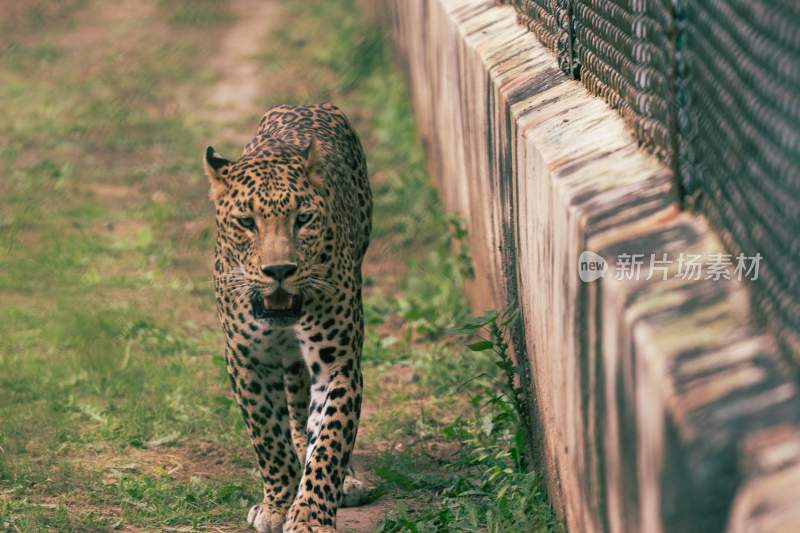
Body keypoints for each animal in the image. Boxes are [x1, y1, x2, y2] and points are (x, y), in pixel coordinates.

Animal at [203, 102, 372, 528]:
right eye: (247, 222)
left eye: (304, 219)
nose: (279, 270)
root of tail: (308, 104)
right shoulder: (245, 361)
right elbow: (268, 438)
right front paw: (277, 504)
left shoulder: (337, 363)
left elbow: (329, 441)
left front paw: (310, 514)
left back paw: (345, 480)